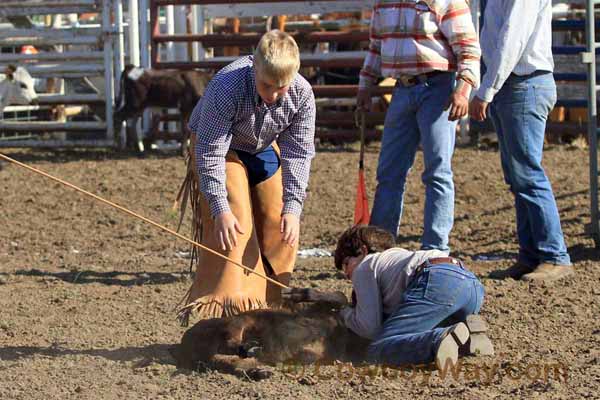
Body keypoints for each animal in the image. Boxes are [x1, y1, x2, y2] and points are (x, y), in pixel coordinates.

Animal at [169, 290, 370, 380]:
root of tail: (185, 343)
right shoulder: (320, 311)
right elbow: (339, 296)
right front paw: (295, 294)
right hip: (238, 323)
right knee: (231, 341)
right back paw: (251, 347)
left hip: (224, 357)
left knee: (232, 362)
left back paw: (259, 369)